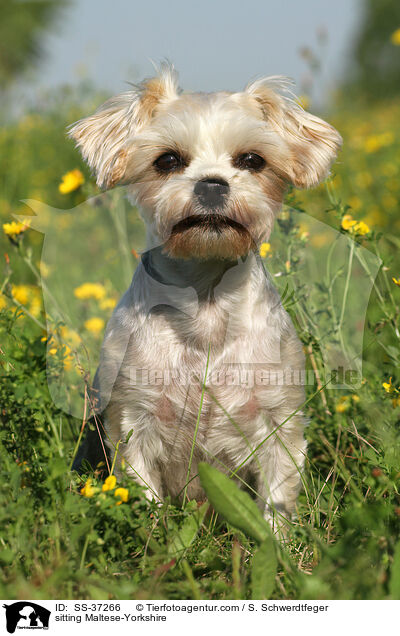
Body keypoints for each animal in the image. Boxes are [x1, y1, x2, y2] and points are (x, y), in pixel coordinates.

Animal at [69, 64, 340, 532]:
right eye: (167, 160)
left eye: (252, 160)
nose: (212, 185)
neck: (206, 305)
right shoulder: (133, 424)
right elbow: (146, 499)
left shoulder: (279, 424)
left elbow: (275, 503)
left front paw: (278, 546)